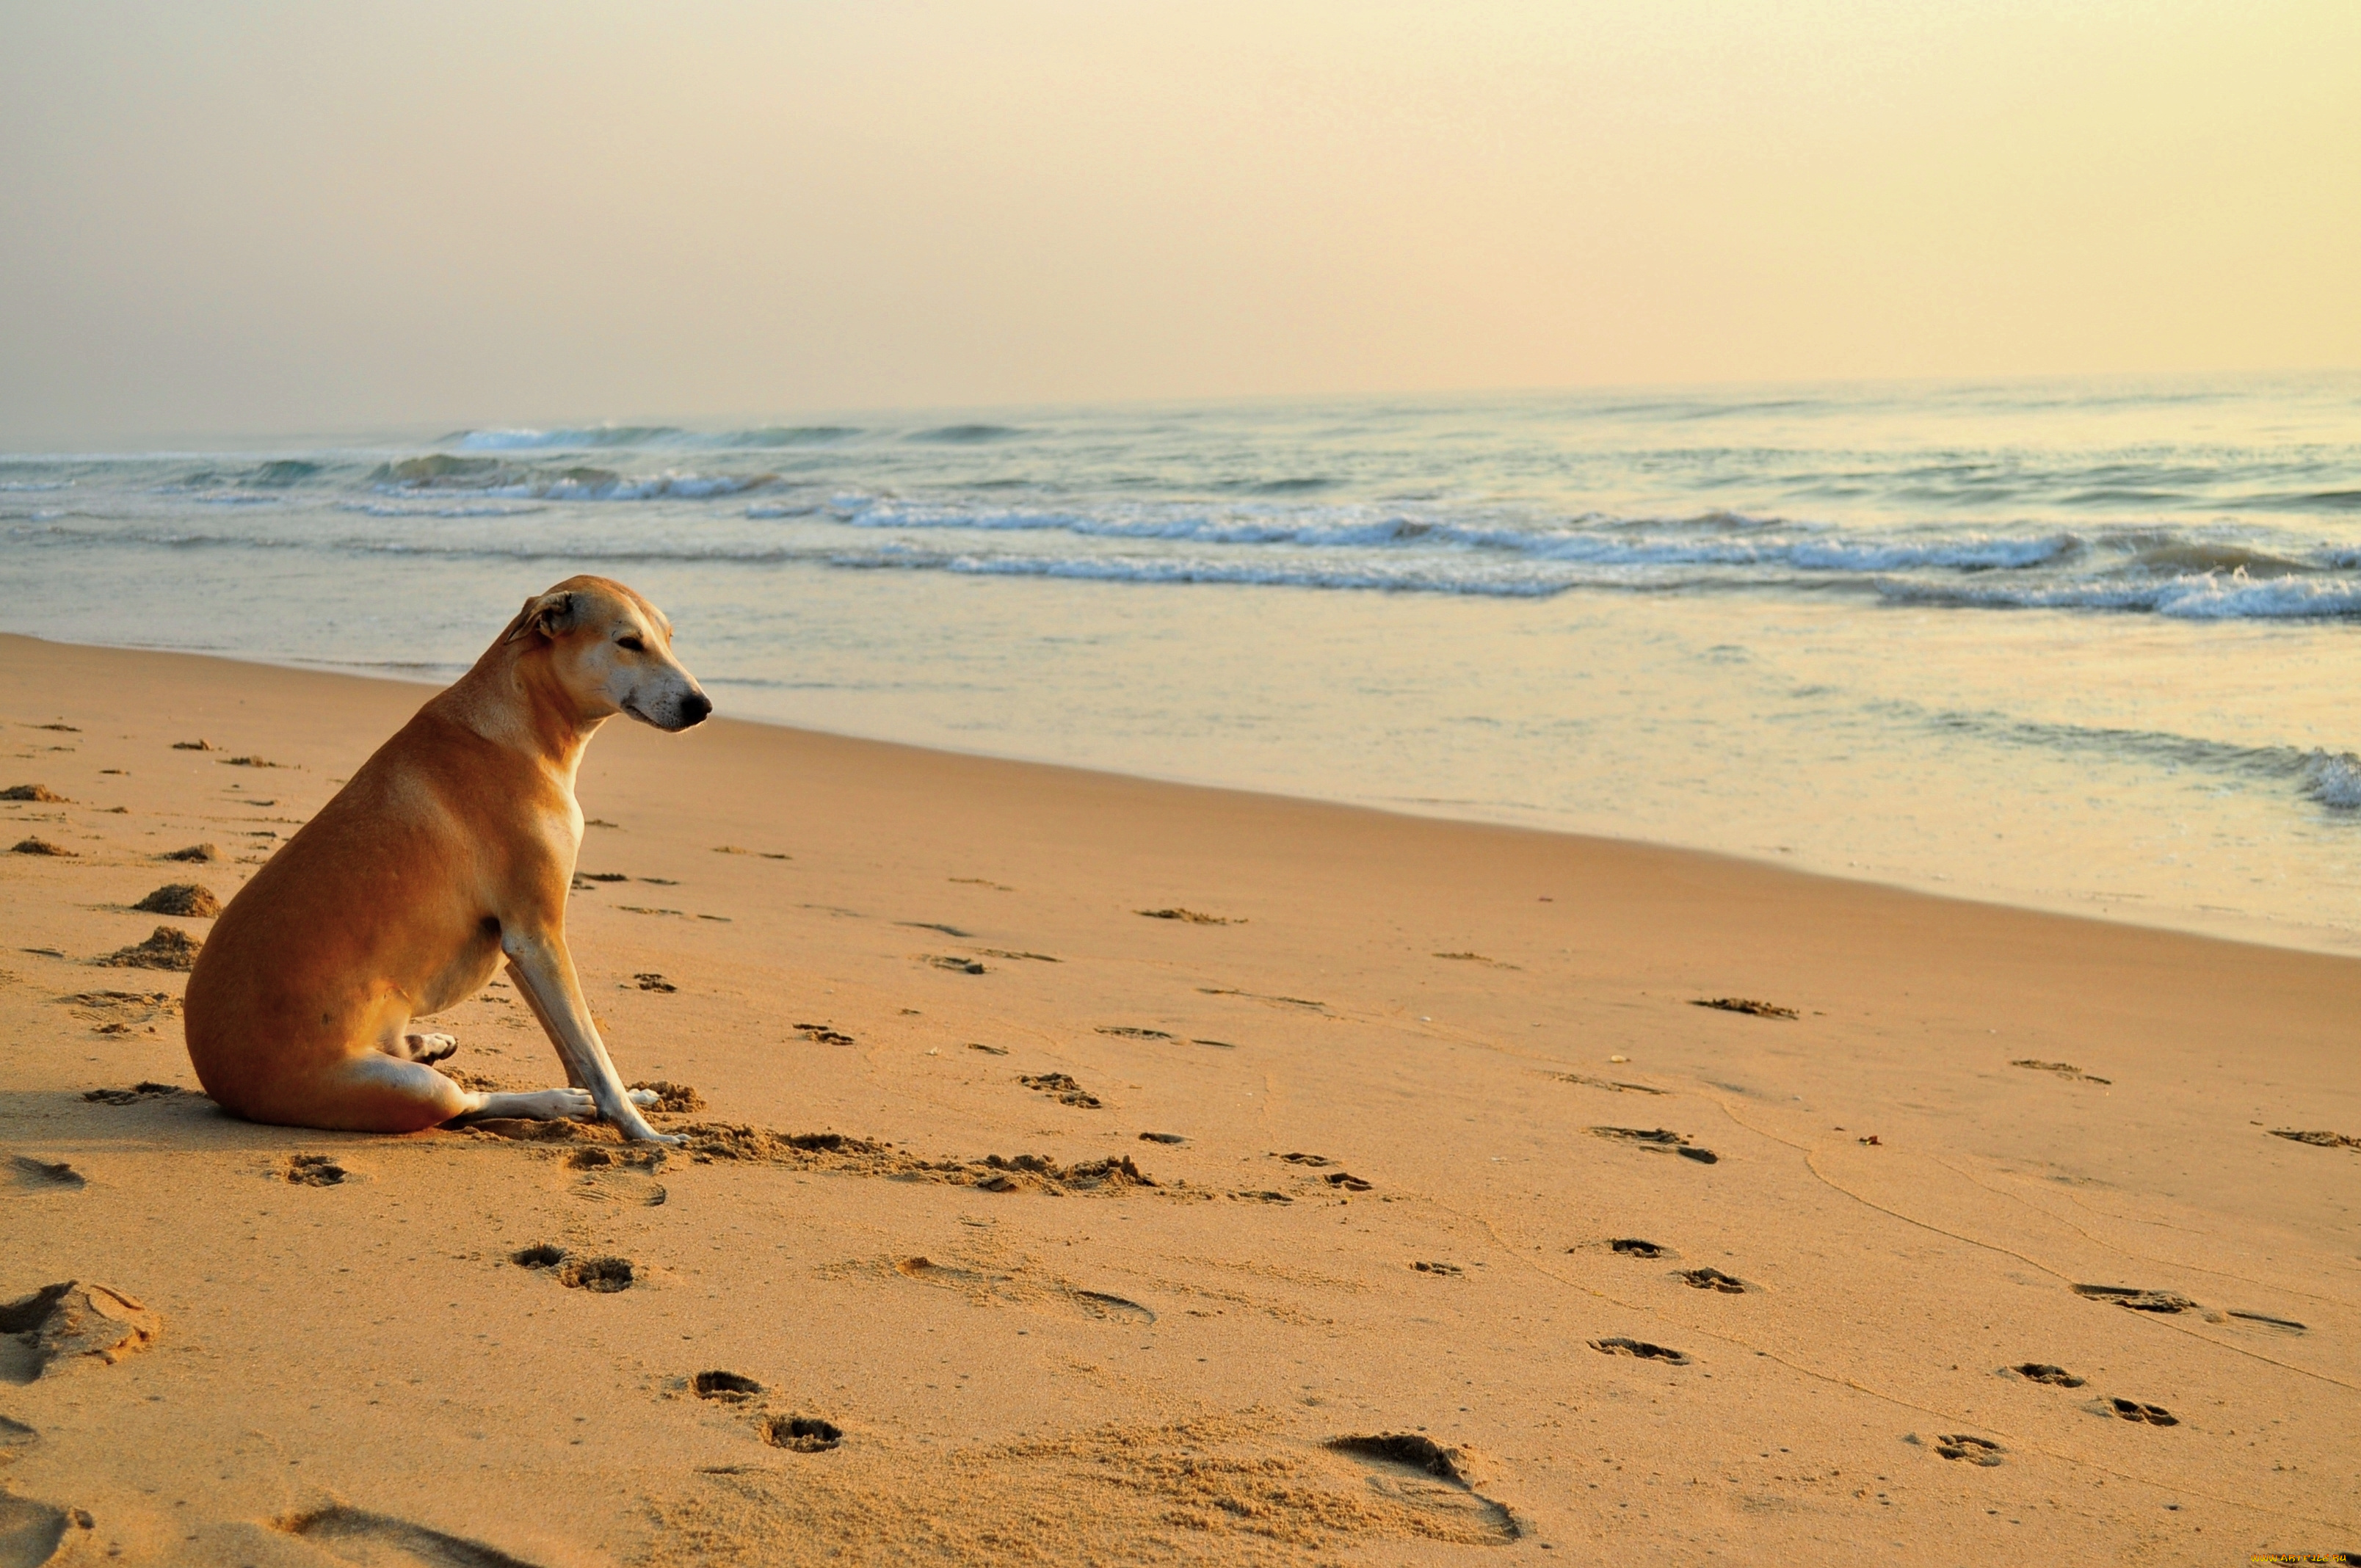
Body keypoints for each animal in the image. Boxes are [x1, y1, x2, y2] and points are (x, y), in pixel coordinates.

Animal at [185, 576, 708, 1138]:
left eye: (668, 638)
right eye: (628, 642)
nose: (702, 706)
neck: (519, 724)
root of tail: (218, 1080)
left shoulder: (523, 948)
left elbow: (577, 1050)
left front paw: (624, 1101)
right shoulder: (538, 935)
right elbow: (593, 1053)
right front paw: (640, 1129)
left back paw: (429, 1044)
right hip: (403, 1089)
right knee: (465, 1104)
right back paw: (555, 1101)